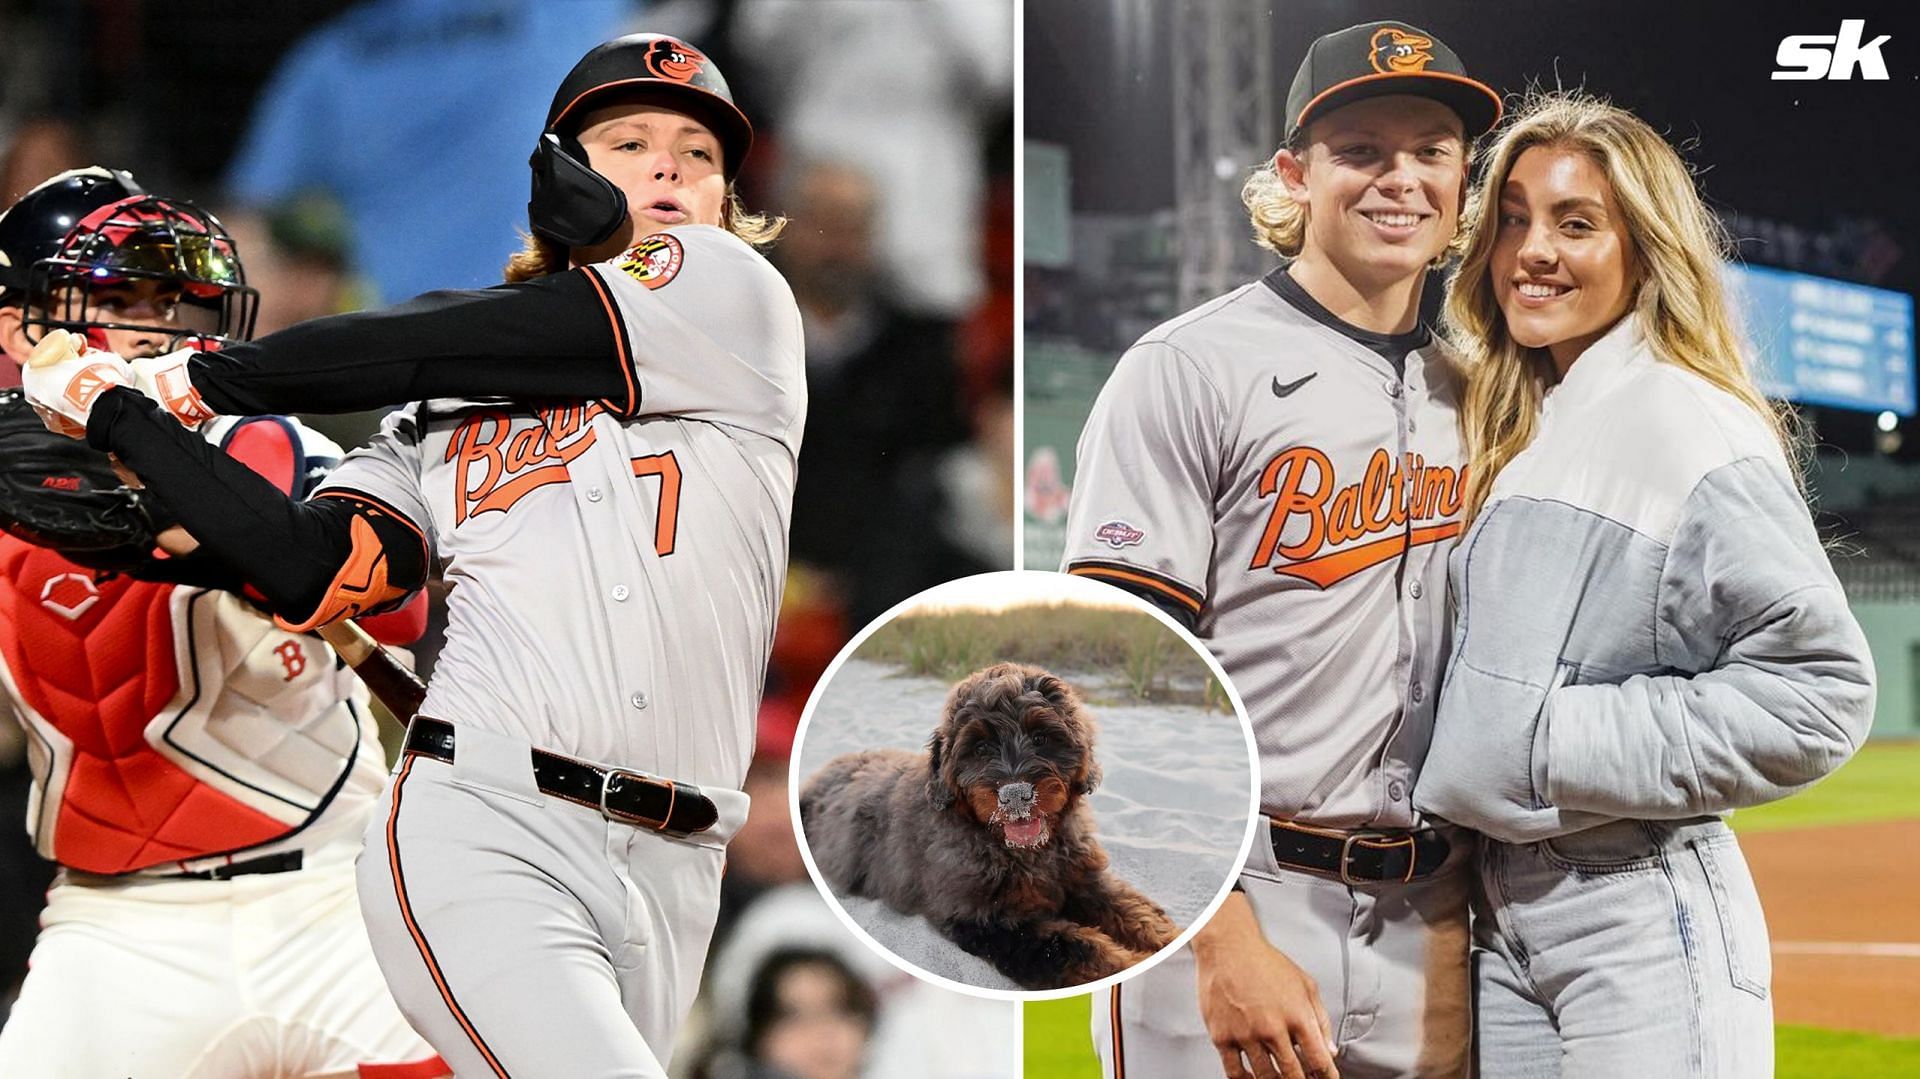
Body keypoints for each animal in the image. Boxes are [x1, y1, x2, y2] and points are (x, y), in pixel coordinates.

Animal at [791, 660, 1167, 990]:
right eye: (981, 747)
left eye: (1041, 738)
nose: (1015, 796)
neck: (1027, 854)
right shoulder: (991, 922)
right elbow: (1075, 947)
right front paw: (1131, 965)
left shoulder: (1084, 878)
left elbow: (1136, 912)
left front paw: (1167, 942)